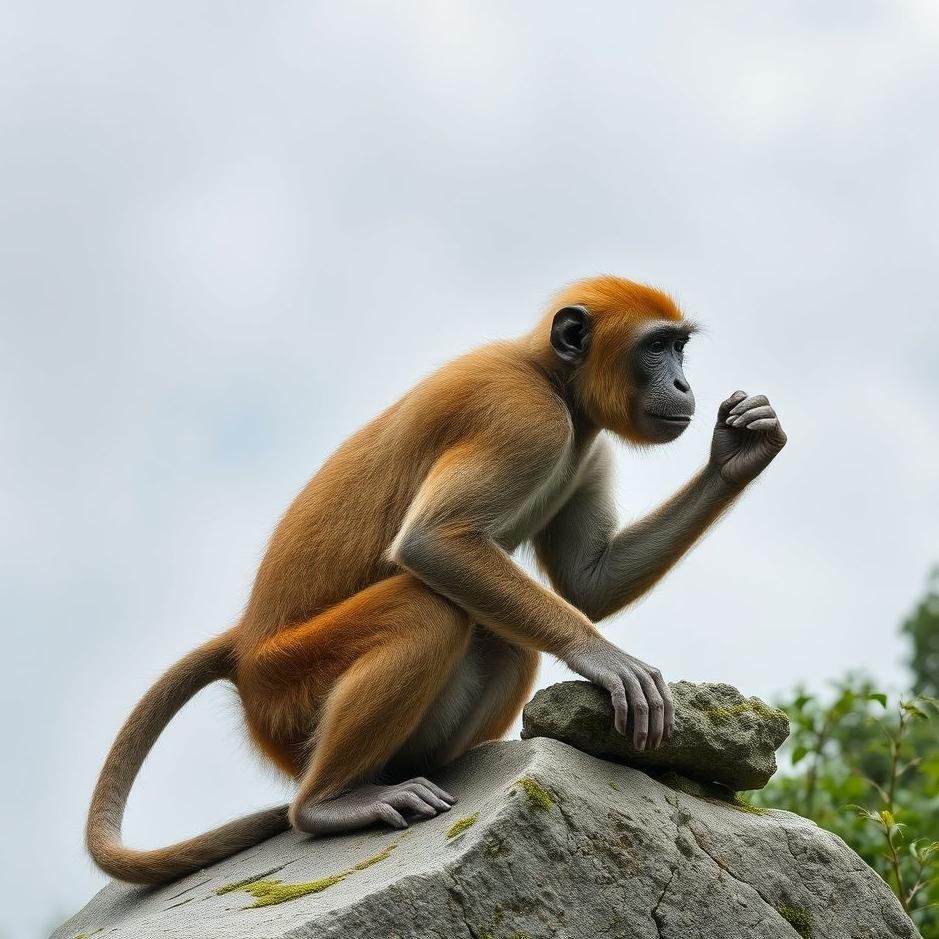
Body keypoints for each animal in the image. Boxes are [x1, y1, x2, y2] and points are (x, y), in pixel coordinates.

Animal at [86, 275, 787, 884]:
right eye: (655, 347)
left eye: (680, 346)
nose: (684, 383)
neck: (551, 375)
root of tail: (243, 646)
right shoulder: (524, 415)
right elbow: (433, 544)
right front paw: (606, 658)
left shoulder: (585, 443)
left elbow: (591, 583)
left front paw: (739, 451)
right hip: (287, 693)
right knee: (429, 609)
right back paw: (327, 805)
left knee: (502, 638)